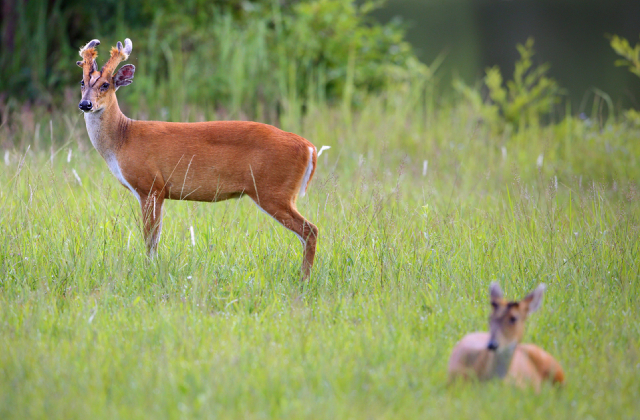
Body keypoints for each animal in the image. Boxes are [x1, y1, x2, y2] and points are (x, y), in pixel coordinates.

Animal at [77, 37, 320, 278]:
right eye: (82, 82)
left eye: (105, 84)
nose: (85, 104)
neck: (123, 138)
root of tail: (309, 147)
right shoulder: (157, 191)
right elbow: (155, 237)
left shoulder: (150, 186)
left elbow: (150, 239)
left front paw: (149, 271)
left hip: (273, 190)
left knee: (310, 229)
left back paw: (304, 279)